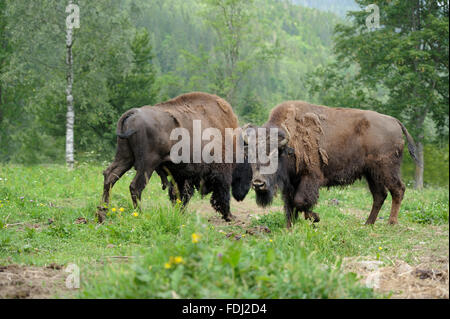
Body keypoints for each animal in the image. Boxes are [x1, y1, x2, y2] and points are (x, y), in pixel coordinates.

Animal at [96, 92, 251, 222]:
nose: (244, 193)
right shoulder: (221, 172)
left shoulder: (181, 176)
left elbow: (180, 195)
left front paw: (180, 213)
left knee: (110, 176)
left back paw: (102, 213)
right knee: (135, 187)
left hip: (125, 157)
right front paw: (230, 216)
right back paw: (139, 214)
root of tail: (133, 113)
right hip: (147, 164)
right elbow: (222, 194)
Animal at [241, 101, 420, 229]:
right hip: (371, 174)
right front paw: (290, 226)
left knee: (398, 190)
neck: (289, 144)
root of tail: (394, 121)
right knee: (379, 195)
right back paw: (368, 223)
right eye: (250, 155)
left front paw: (315, 218)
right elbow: (289, 205)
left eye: (272, 154)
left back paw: (391, 223)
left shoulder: (310, 177)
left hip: (387, 169)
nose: (258, 183)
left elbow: (300, 201)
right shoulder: (291, 183)